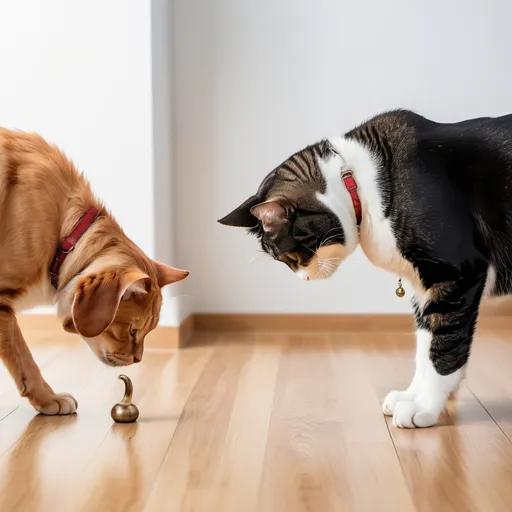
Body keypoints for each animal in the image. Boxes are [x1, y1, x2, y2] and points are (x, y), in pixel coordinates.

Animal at [217, 109, 512, 428]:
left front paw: (426, 407)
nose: (303, 278)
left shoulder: (457, 273)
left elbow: (443, 345)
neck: (358, 183)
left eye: (293, 256)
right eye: (285, 261)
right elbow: (424, 345)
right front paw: (411, 396)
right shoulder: (422, 288)